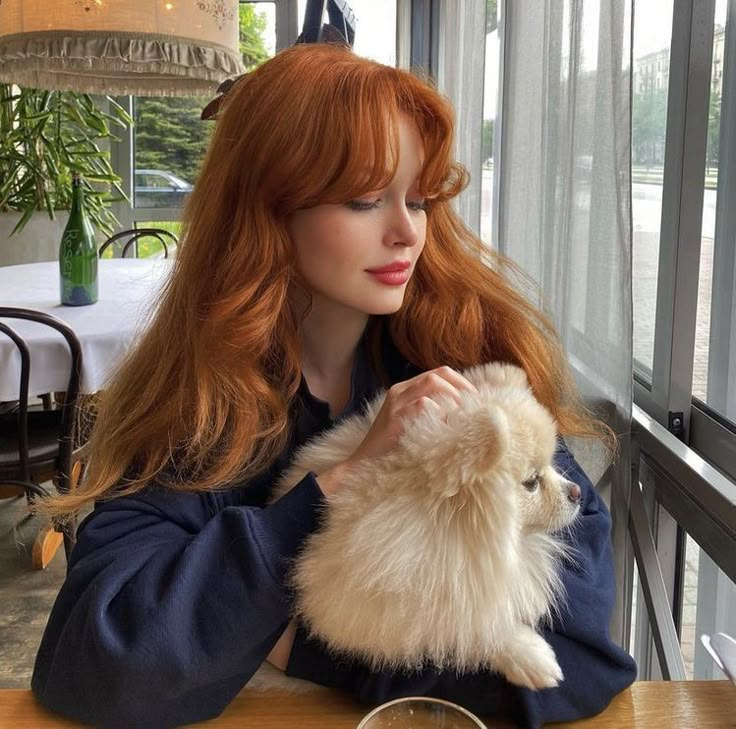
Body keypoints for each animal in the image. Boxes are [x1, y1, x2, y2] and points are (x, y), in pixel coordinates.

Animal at [270, 362, 580, 688]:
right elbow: (465, 627)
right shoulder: (381, 604)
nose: (577, 493)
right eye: (532, 482)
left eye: (551, 465)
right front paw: (529, 656)